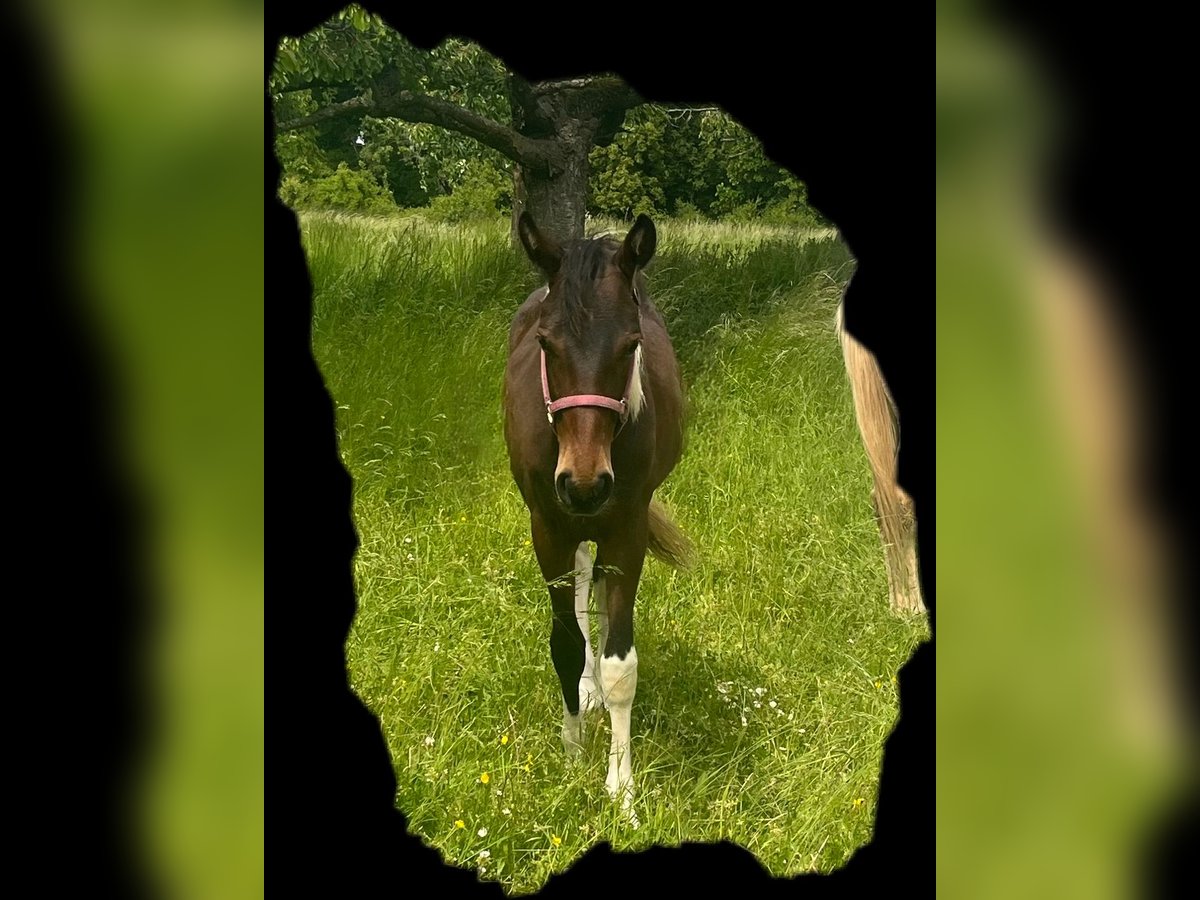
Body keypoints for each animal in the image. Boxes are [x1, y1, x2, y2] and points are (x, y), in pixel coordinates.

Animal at [502, 212, 692, 825]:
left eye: (630, 344)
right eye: (546, 342)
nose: (584, 485)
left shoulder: (626, 529)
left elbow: (621, 665)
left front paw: (621, 790)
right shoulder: (549, 528)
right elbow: (565, 645)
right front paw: (571, 754)